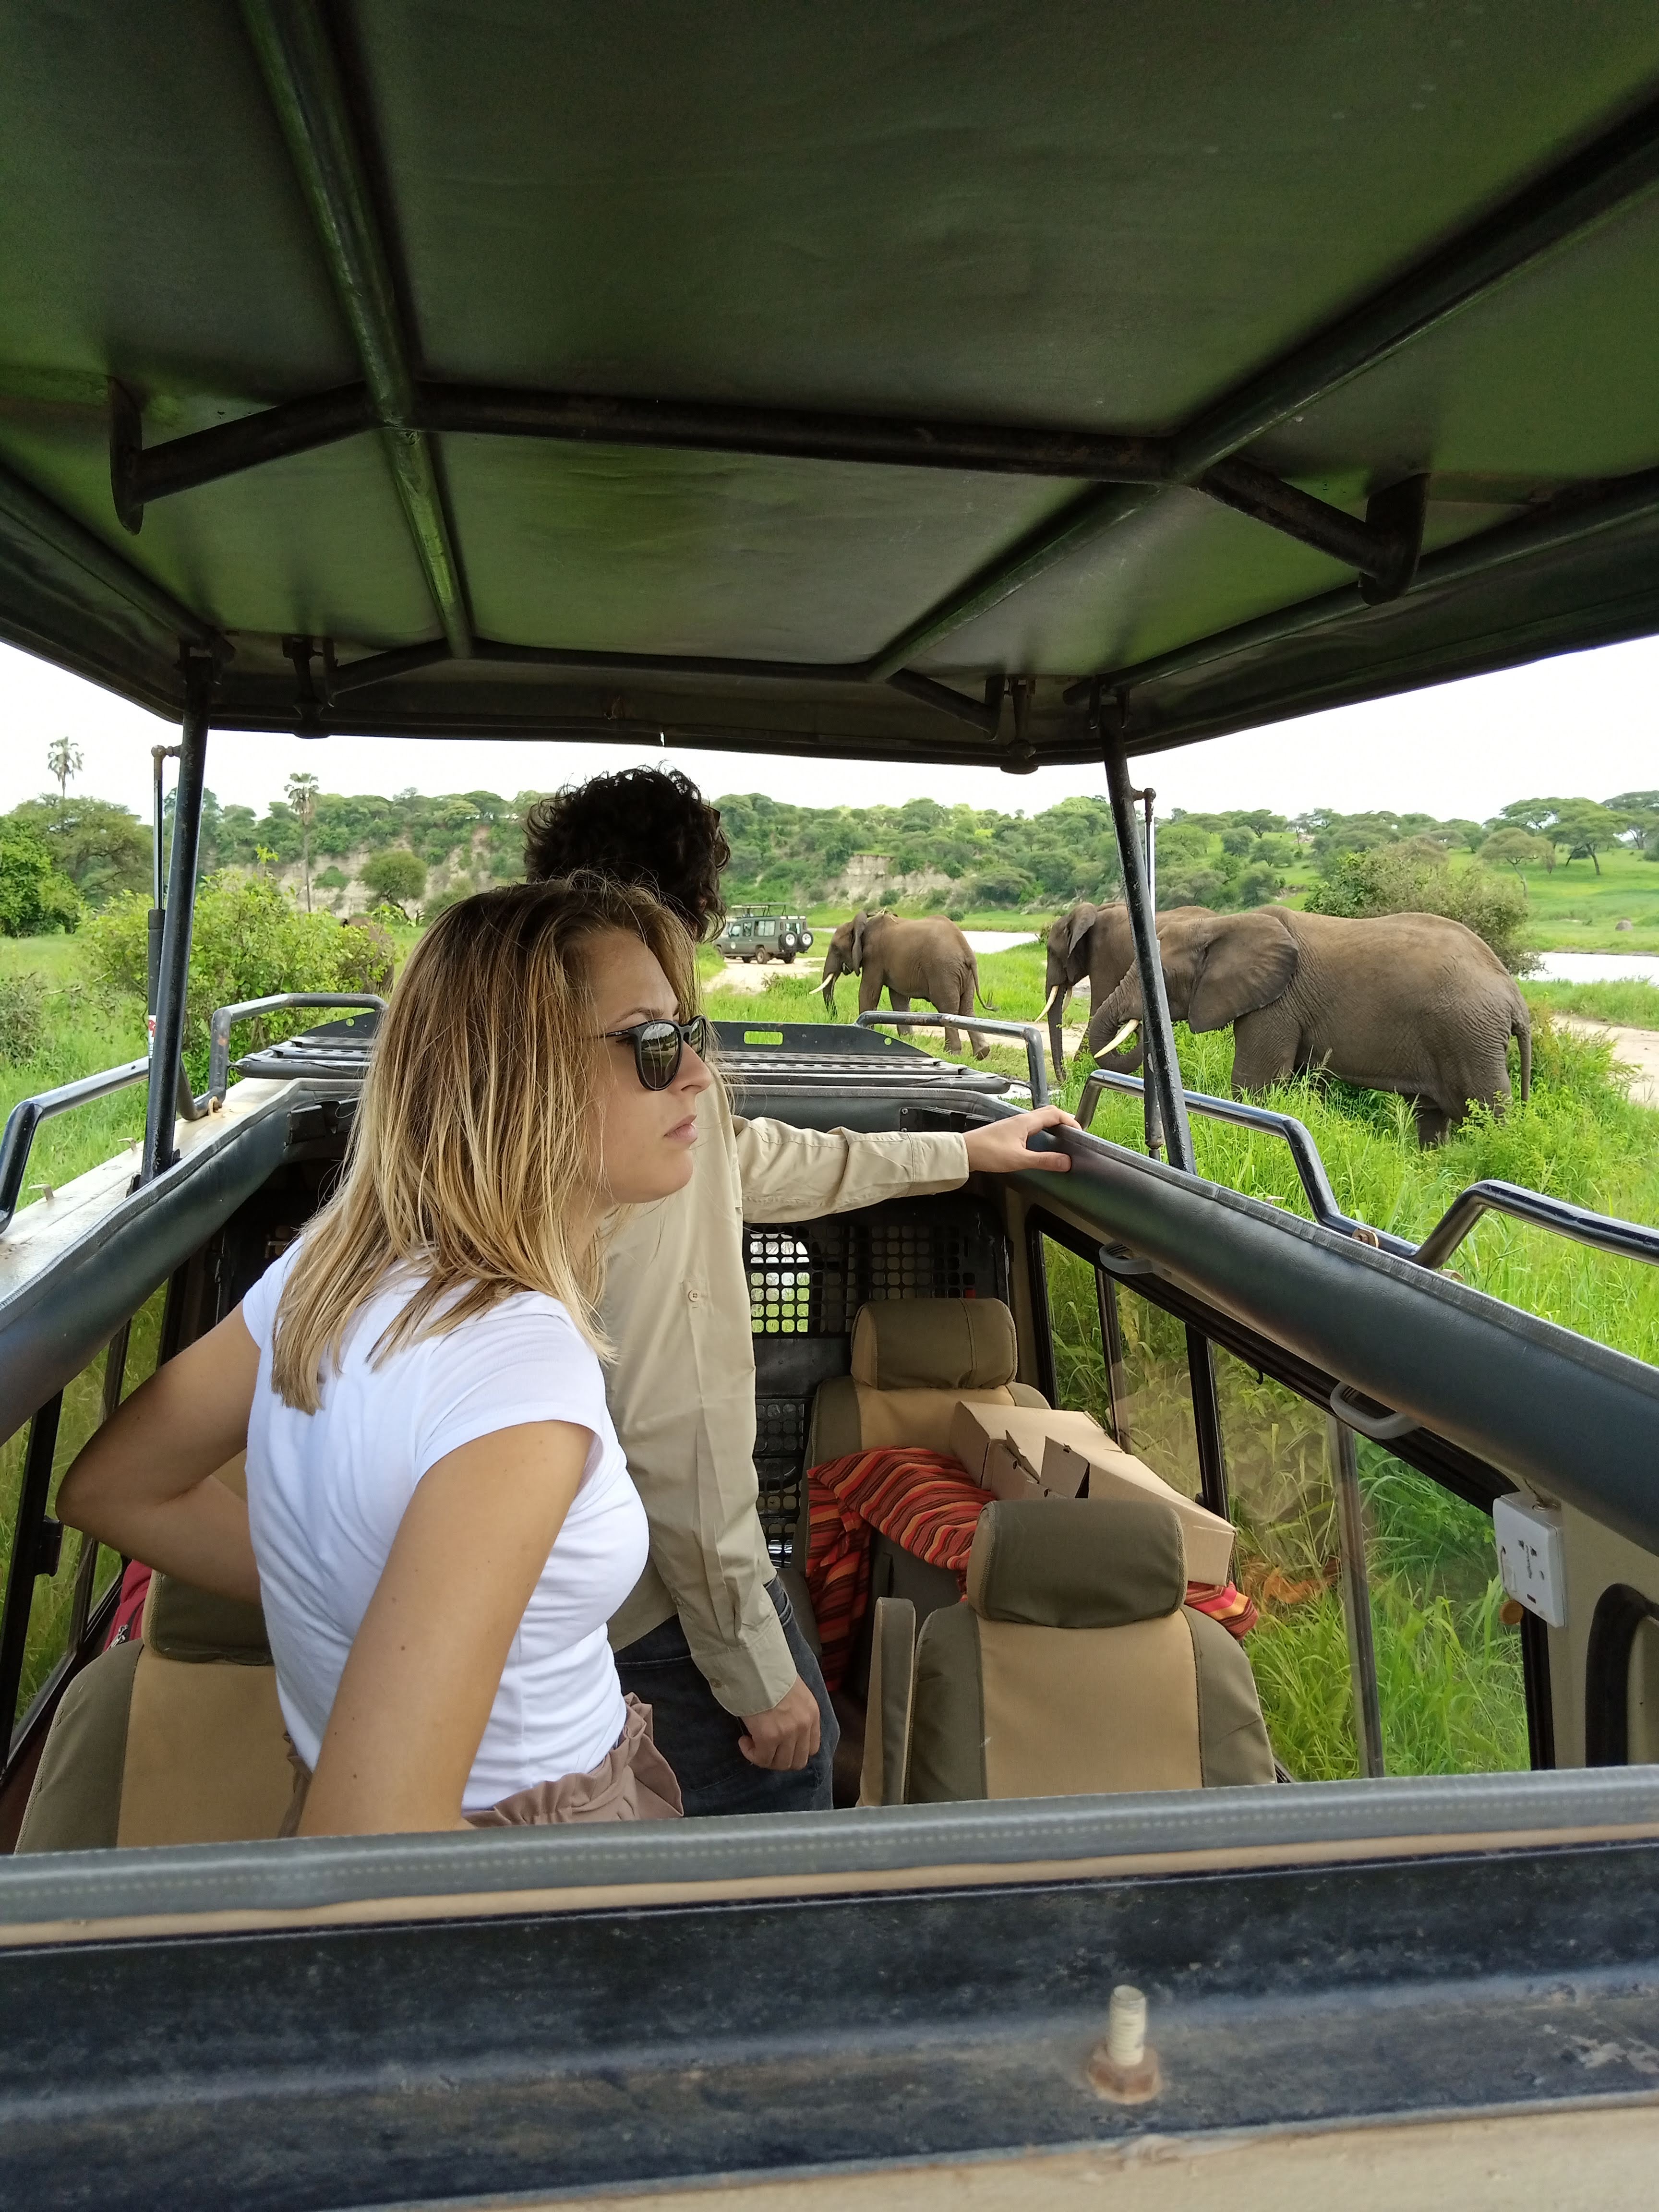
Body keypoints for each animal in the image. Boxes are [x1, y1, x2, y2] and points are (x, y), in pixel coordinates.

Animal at [827, 911, 995, 1057]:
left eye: (836, 949)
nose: (834, 1017)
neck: (860, 925)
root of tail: (966, 951)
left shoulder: (874, 958)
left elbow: (869, 993)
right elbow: (899, 1000)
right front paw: (908, 1040)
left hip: (943, 971)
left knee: (947, 1007)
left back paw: (952, 1053)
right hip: (965, 975)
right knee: (967, 1008)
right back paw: (982, 1053)